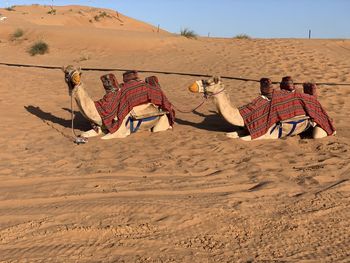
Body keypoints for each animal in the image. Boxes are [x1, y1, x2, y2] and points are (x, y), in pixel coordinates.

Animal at [187, 77, 330, 140]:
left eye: (208, 82)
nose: (191, 86)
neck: (244, 115)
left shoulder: (268, 133)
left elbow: (242, 139)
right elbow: (230, 135)